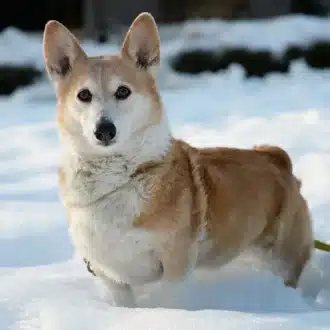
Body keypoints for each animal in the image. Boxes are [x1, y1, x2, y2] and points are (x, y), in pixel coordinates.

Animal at [42, 12, 314, 306]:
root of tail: (276, 159)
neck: (116, 177)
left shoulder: (175, 264)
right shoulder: (110, 276)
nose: (104, 130)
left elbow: (169, 302)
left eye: (123, 92)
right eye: (84, 95)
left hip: (282, 259)